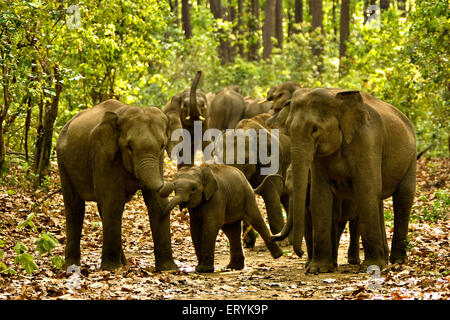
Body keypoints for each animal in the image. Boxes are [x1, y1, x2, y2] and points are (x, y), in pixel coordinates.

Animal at [57, 99, 179, 270]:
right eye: (129, 147)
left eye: (162, 146)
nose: (171, 185)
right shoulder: (102, 154)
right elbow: (113, 202)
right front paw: (111, 268)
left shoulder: (159, 159)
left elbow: (157, 204)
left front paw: (169, 269)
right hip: (62, 160)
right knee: (74, 207)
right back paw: (72, 265)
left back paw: (124, 263)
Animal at [276, 87, 416, 272]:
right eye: (288, 131)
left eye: (315, 129)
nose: (300, 253)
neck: (337, 97)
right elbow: (319, 196)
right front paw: (317, 269)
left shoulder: (368, 142)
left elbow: (366, 189)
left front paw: (371, 267)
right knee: (378, 201)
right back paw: (385, 259)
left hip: (411, 158)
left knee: (403, 198)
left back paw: (397, 261)